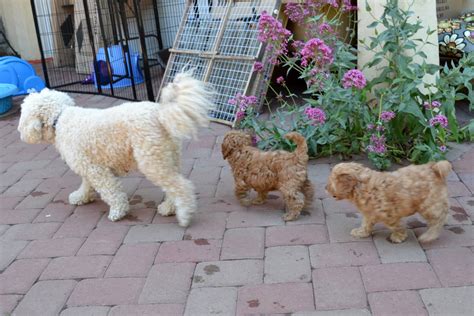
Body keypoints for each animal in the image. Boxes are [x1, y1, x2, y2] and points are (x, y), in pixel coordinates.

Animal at [18, 71, 215, 226]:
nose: (20, 132)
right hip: (168, 158)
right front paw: (81, 197)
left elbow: (111, 191)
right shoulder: (87, 165)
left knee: (181, 185)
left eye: (23, 115)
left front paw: (118, 211)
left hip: (152, 161)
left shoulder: (97, 170)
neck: (60, 117)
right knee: (173, 186)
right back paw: (169, 207)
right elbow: (86, 184)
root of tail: (160, 114)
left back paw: (185, 215)